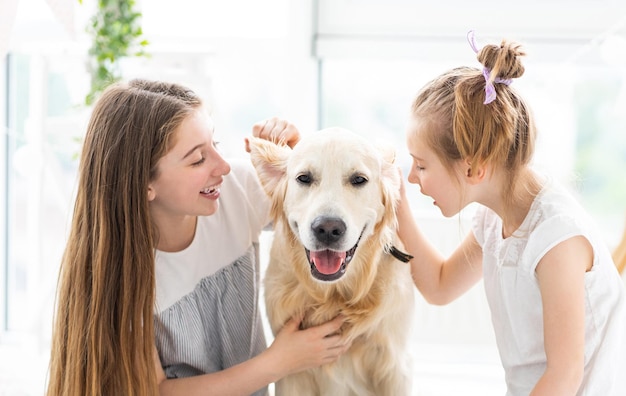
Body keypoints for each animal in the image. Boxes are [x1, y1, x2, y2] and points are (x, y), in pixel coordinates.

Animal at [247, 128, 414, 394]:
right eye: (304, 178)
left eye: (359, 180)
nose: (327, 229)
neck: (334, 296)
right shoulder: (292, 374)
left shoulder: (395, 367)